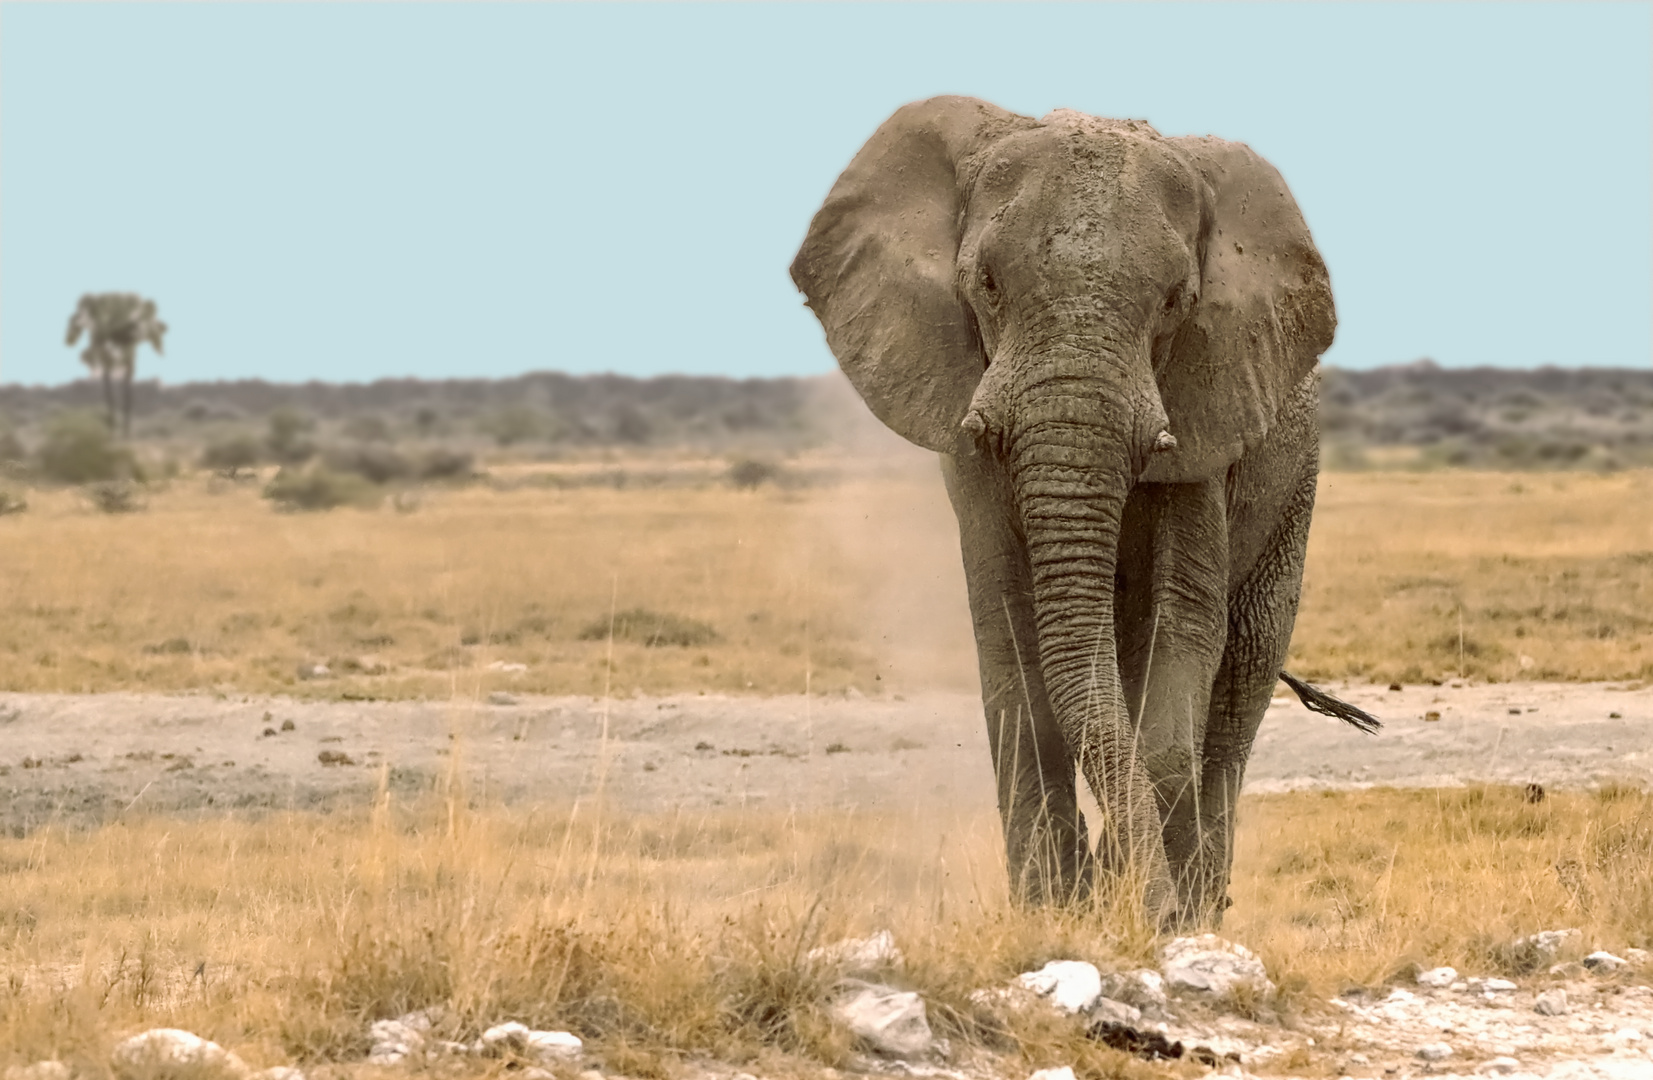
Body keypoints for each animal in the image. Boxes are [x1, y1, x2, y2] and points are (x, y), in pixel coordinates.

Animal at [783, 96, 1368, 926]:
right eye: (985, 283)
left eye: (1176, 302)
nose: (1145, 913)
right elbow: (1010, 639)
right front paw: (1055, 913)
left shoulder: (1203, 411)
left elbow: (1180, 631)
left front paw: (1145, 913)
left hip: (1294, 485)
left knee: (1238, 683)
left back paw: (1202, 903)